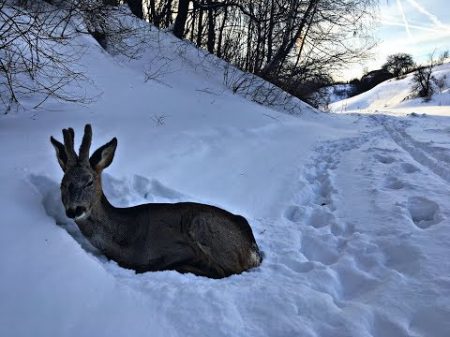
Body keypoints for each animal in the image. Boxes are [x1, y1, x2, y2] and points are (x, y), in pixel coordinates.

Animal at [51, 124, 262, 276]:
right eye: (63, 184)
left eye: (89, 181)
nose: (74, 209)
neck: (124, 239)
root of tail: (254, 251)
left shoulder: (173, 248)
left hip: (202, 224)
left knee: (227, 271)